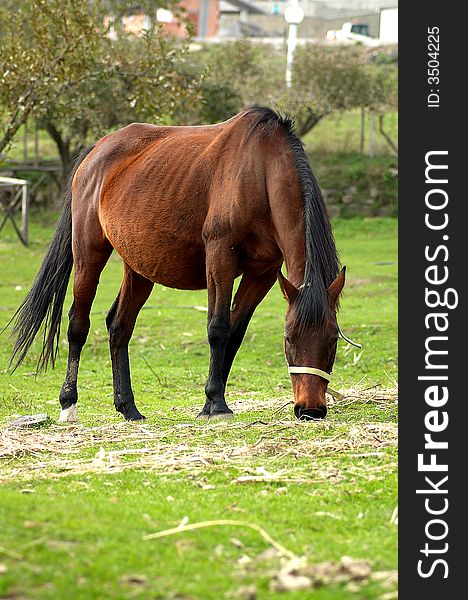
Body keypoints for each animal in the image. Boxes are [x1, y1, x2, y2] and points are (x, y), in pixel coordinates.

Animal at [9, 108, 346, 424]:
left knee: (119, 326)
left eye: (333, 339)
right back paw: (69, 404)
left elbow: (235, 332)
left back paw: (128, 407)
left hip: (139, 269)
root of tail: (96, 152)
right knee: (78, 324)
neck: (259, 172)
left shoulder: (261, 274)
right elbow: (218, 327)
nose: (311, 409)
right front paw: (216, 403)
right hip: (88, 254)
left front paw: (211, 401)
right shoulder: (220, 257)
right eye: (289, 339)